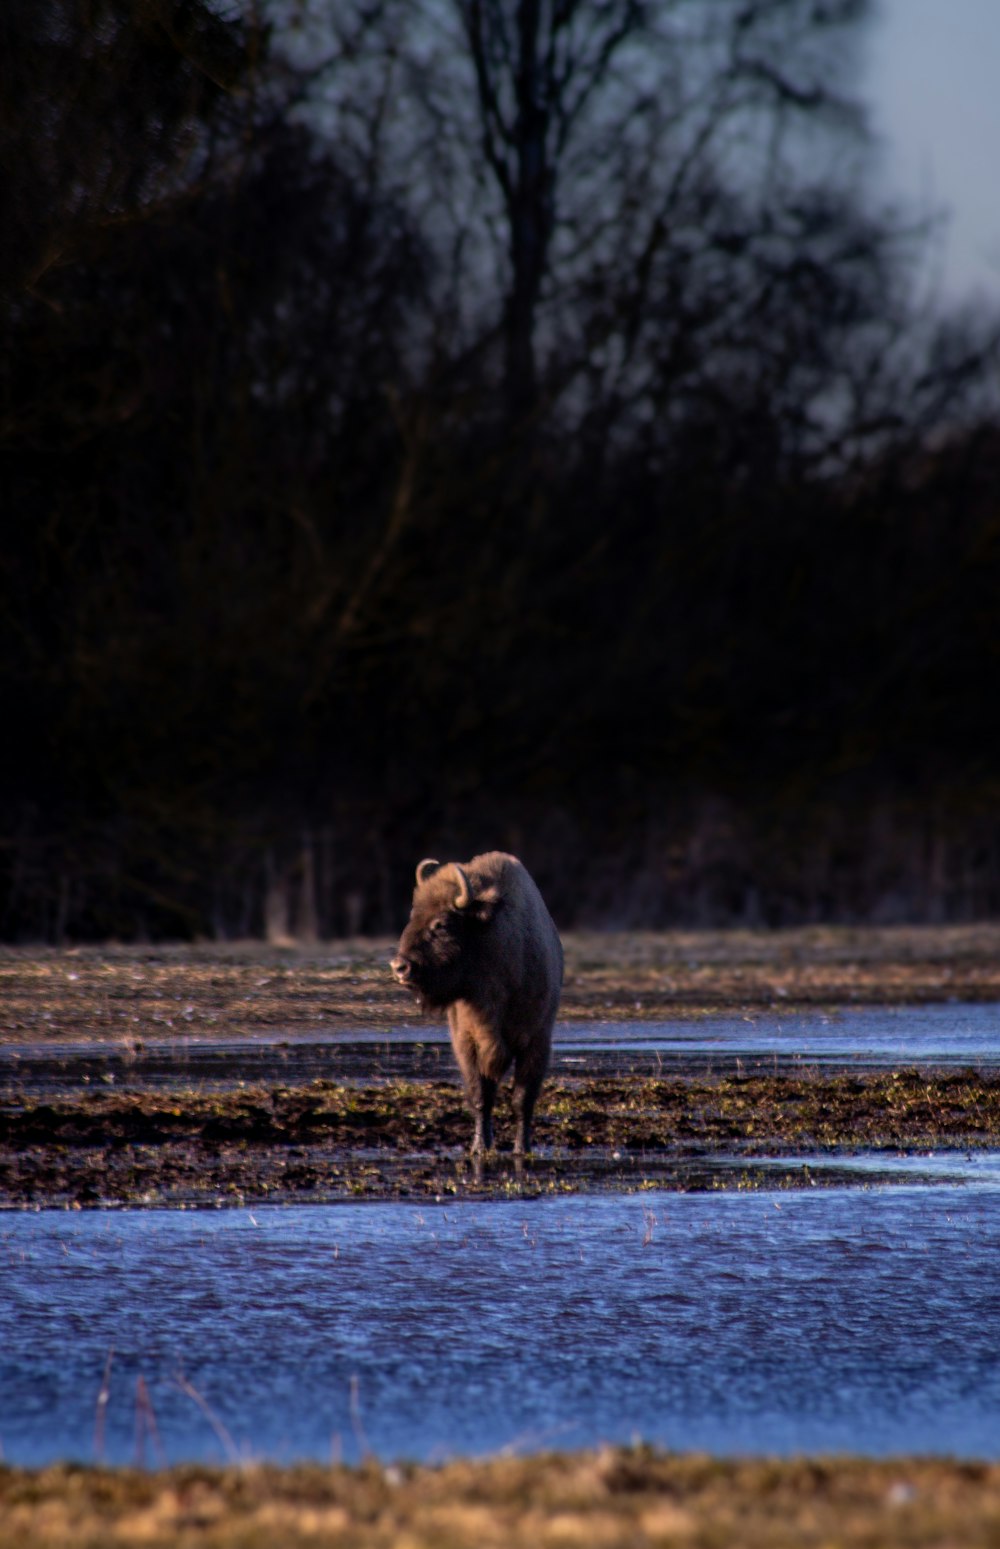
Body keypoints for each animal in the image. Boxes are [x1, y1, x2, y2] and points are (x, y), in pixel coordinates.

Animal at [391, 861, 563, 1152]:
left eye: (442, 924)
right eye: (413, 916)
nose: (400, 967)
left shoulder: (536, 1041)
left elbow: (522, 1099)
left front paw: (522, 1148)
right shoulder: (468, 1043)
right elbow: (481, 1097)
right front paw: (480, 1147)